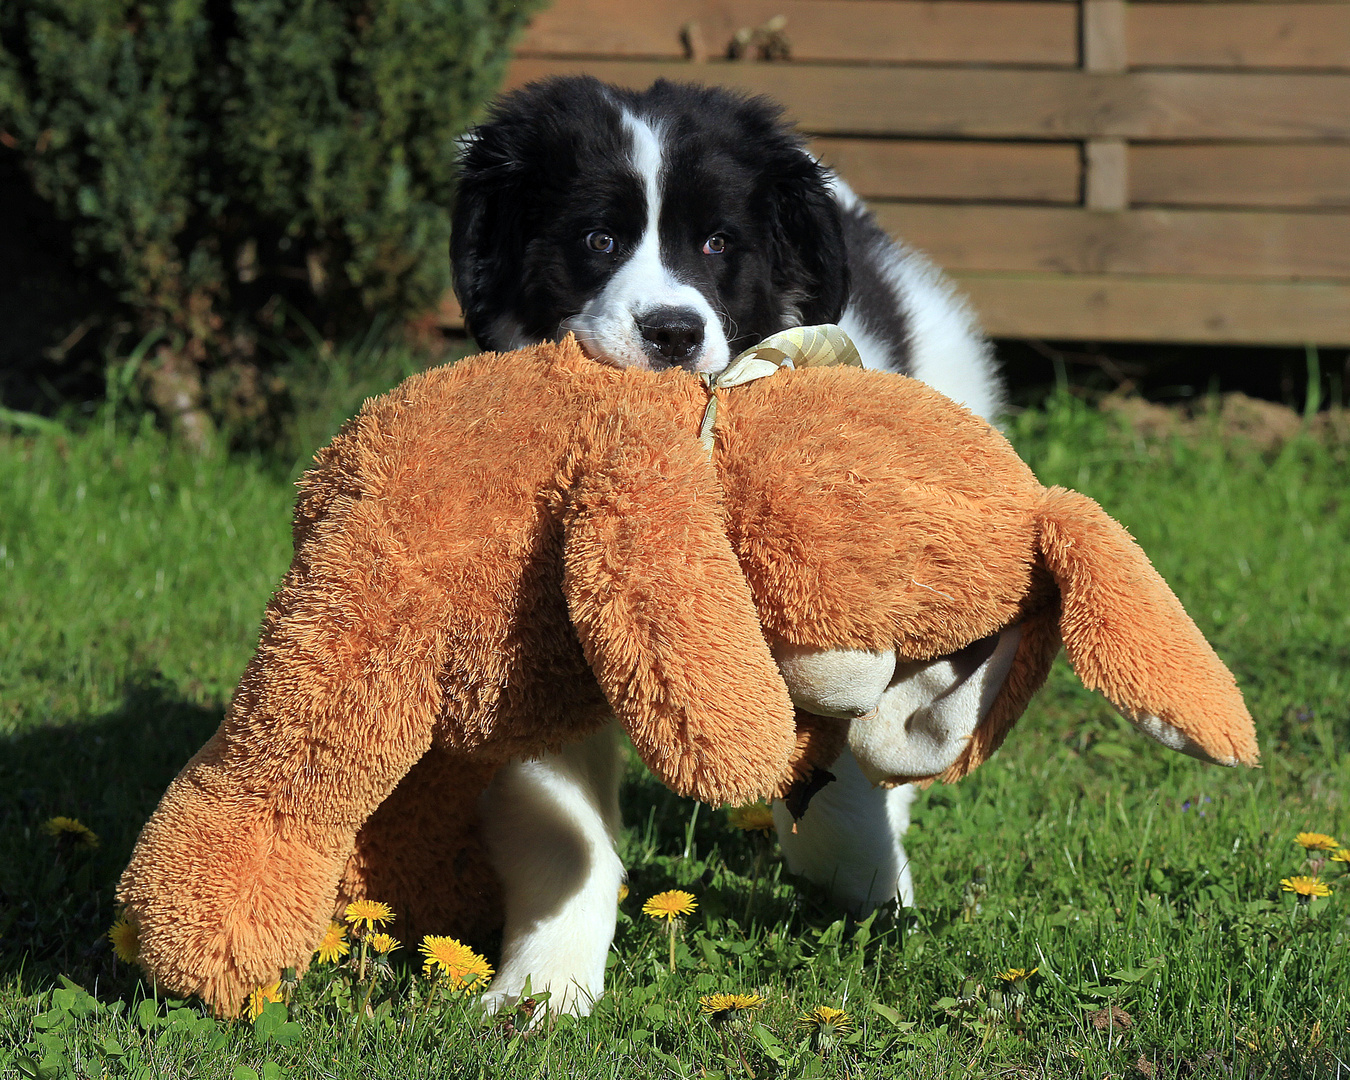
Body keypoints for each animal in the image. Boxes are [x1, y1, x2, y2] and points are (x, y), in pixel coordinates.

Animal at [450, 73, 1004, 1015]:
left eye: (716, 244)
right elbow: (563, 828)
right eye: (598, 240)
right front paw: (543, 989)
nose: (673, 331)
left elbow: (837, 781)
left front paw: (876, 901)